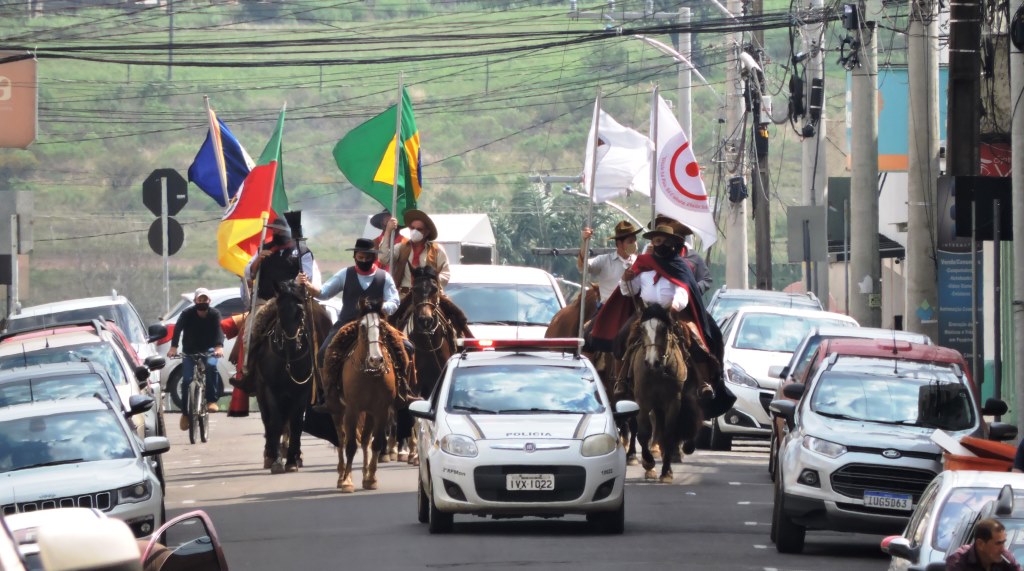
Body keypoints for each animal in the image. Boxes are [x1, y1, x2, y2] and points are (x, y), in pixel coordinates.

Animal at [246, 280, 329, 474]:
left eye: (301, 311)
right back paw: (270, 455)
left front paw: (292, 460)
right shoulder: (272, 390)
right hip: (261, 392)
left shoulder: (302, 391)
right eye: (279, 309)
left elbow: (296, 423)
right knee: (268, 421)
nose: (291, 345)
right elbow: (275, 422)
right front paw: (277, 461)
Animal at [327, 300, 395, 493]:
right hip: (337, 411)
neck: (369, 374)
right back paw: (341, 476)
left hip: (369, 413)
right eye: (362, 326)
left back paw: (365, 474)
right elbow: (350, 446)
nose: (376, 359)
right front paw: (347, 481)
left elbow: (376, 443)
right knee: (341, 439)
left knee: (365, 440)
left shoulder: (381, 411)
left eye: (382, 326)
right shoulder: (352, 410)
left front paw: (371, 478)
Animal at [626, 304, 708, 482]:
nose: (652, 362)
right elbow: (643, 433)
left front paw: (667, 472)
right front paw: (648, 462)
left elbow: (670, 433)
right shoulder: (642, 401)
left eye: (664, 329)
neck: (659, 372)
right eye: (642, 329)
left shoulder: (673, 402)